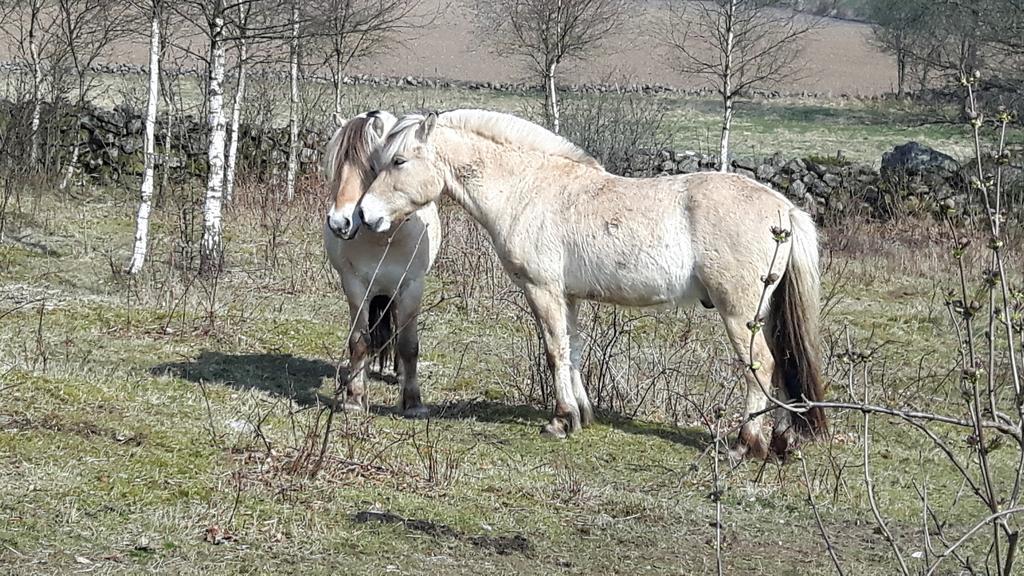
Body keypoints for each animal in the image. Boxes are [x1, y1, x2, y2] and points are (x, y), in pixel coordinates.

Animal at [321, 109, 438, 414]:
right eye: (336, 166)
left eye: (372, 167)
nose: (340, 223)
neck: (385, 238)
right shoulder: (355, 286)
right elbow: (359, 341)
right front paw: (354, 397)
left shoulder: (411, 286)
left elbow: (409, 344)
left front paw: (413, 402)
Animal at [358, 108, 823, 457]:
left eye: (399, 161)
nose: (364, 214)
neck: (528, 189)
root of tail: (783, 208)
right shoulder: (570, 297)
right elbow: (574, 351)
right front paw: (581, 415)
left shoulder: (542, 290)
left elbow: (554, 351)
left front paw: (560, 420)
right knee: (784, 366)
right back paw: (781, 442)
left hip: (739, 314)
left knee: (761, 366)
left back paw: (745, 445)